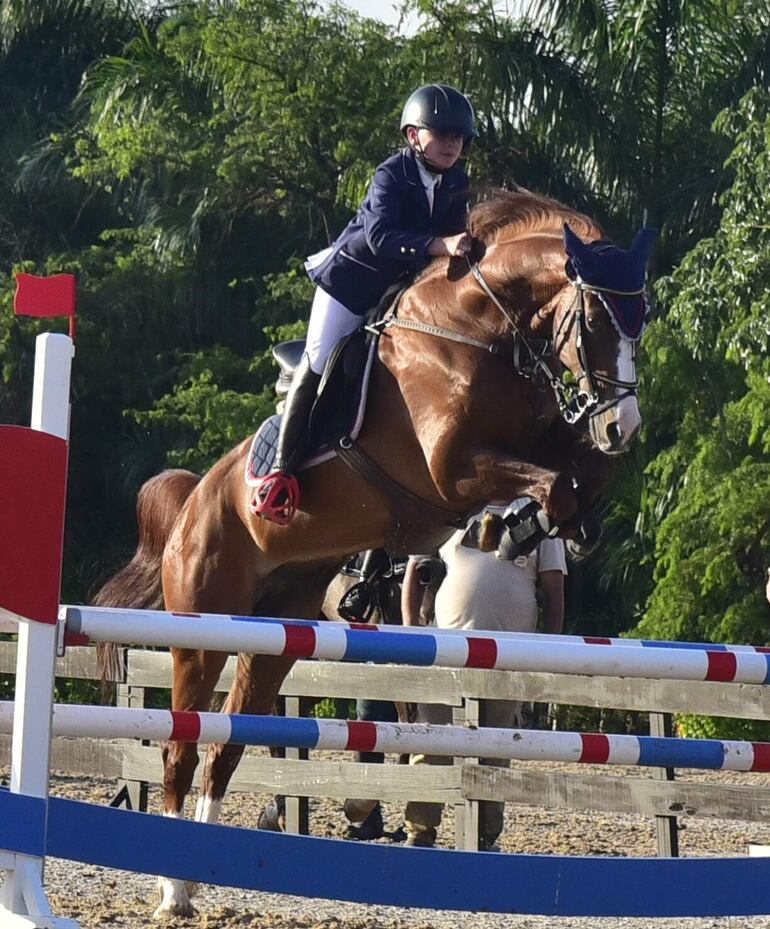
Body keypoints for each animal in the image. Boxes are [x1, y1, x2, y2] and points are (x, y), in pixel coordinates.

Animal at [93, 188, 652, 912]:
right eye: (593, 317)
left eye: (641, 318)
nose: (622, 424)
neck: (478, 332)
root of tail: (191, 500)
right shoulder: (449, 470)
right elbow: (552, 482)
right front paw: (514, 526)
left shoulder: (543, 442)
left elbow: (583, 474)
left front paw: (553, 524)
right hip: (203, 631)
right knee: (182, 750)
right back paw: (172, 891)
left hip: (274, 637)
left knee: (227, 746)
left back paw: (196, 870)